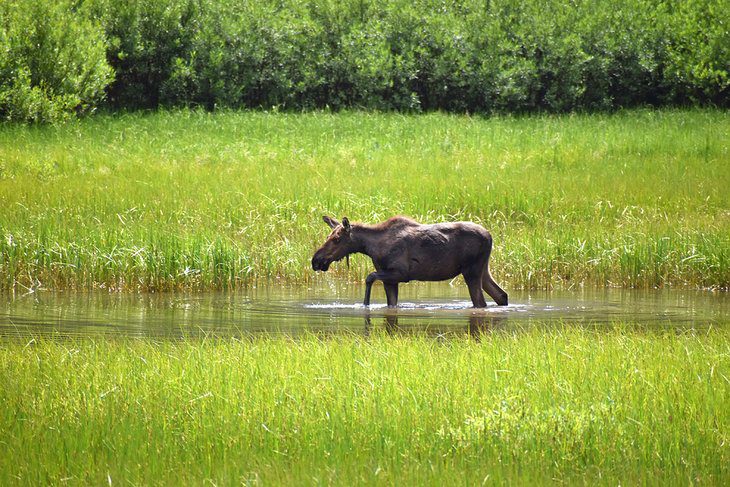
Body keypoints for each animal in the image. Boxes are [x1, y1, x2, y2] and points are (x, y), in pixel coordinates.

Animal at [312, 217, 506, 308]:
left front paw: (365, 305)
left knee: (481, 302)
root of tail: (490, 236)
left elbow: (369, 277)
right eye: (328, 236)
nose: (316, 260)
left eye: (337, 239)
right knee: (501, 295)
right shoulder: (390, 280)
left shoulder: (401, 273)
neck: (371, 247)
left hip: (471, 271)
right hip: (483, 270)